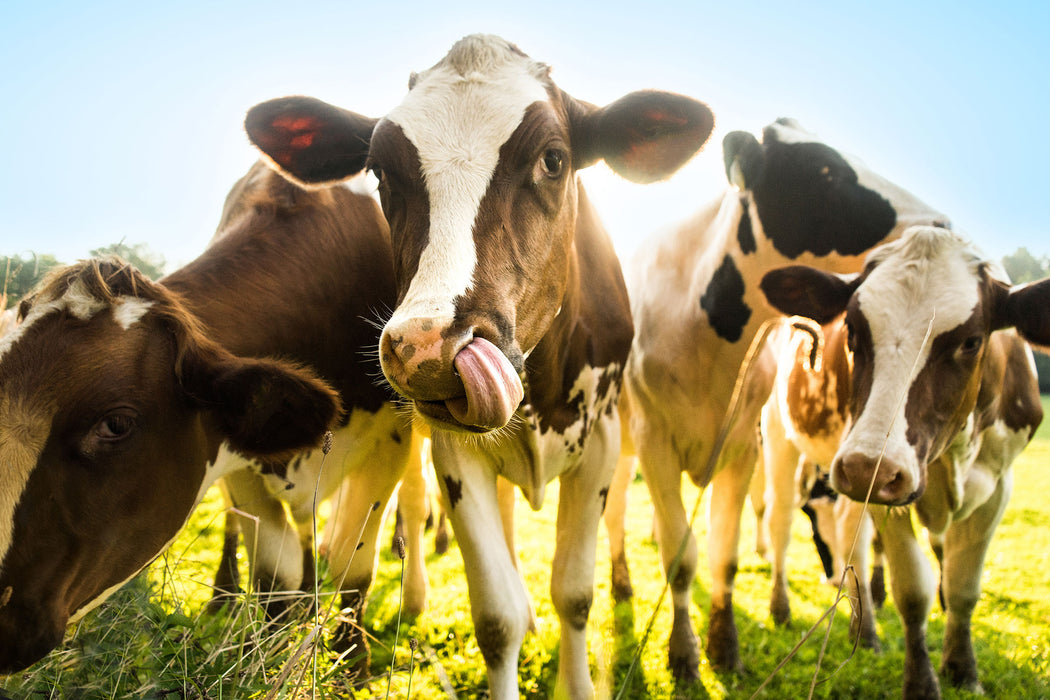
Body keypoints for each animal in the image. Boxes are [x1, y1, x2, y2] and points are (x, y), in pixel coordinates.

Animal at [0, 161, 413, 675]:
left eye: (116, 424)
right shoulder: (239, 457)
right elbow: (275, 574)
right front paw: (264, 656)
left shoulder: (391, 440)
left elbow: (352, 565)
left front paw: (350, 664)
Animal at [241, 34, 713, 700]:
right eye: (380, 172)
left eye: (553, 159)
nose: (428, 348)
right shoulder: (454, 454)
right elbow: (496, 616)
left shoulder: (601, 442)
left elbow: (575, 594)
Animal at [764, 227, 1050, 696]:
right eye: (852, 331)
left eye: (971, 341)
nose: (865, 467)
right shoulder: (885, 491)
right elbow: (913, 591)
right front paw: (921, 682)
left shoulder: (997, 485)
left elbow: (963, 585)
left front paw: (963, 669)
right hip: (783, 443)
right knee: (782, 524)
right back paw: (782, 608)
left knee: (850, 532)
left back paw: (865, 631)